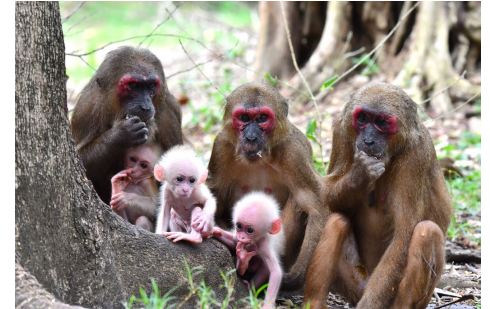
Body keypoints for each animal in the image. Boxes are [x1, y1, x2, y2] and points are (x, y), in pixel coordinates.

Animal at [69, 45, 184, 205]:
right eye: (133, 85)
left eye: (150, 86)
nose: (145, 107)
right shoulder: (87, 108)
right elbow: (80, 162)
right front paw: (120, 136)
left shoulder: (170, 112)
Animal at [208, 80, 330, 288]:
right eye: (244, 118)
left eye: (262, 118)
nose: (250, 137)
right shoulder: (221, 148)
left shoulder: (295, 153)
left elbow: (317, 207)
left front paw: (296, 276)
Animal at [302, 82, 452, 308]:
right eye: (363, 118)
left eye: (381, 122)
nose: (369, 140)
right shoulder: (342, 131)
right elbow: (327, 198)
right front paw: (360, 175)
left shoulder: (416, 155)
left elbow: (403, 236)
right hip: (358, 283)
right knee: (337, 221)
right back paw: (314, 302)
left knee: (427, 231)